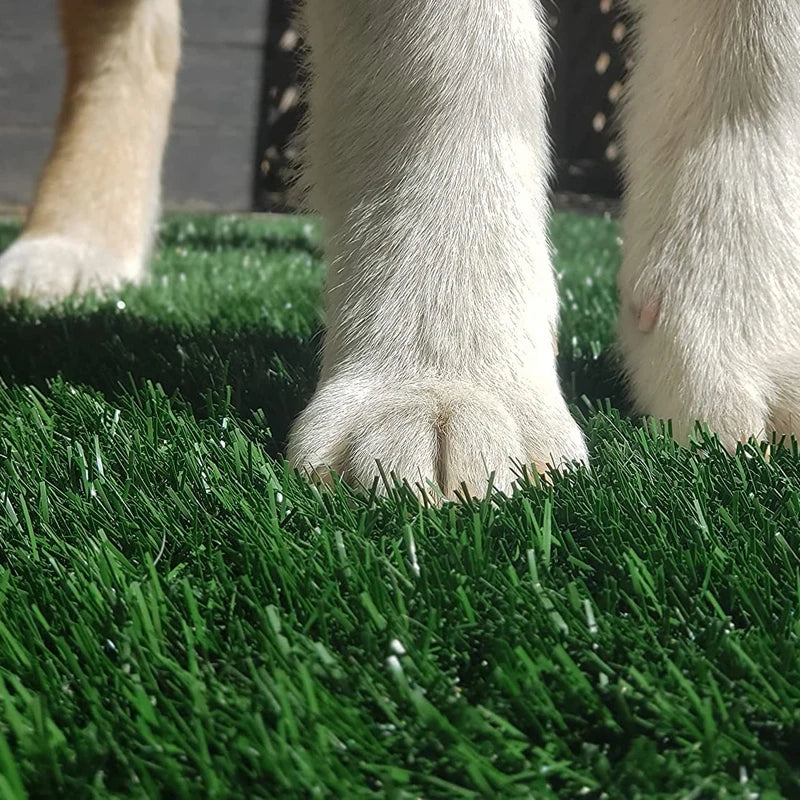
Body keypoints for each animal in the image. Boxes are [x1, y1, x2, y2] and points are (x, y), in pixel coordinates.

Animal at [3, 0, 796, 496]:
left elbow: (764, 66)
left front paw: (746, 336)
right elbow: (439, 57)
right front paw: (441, 384)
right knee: (120, 45)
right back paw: (77, 240)